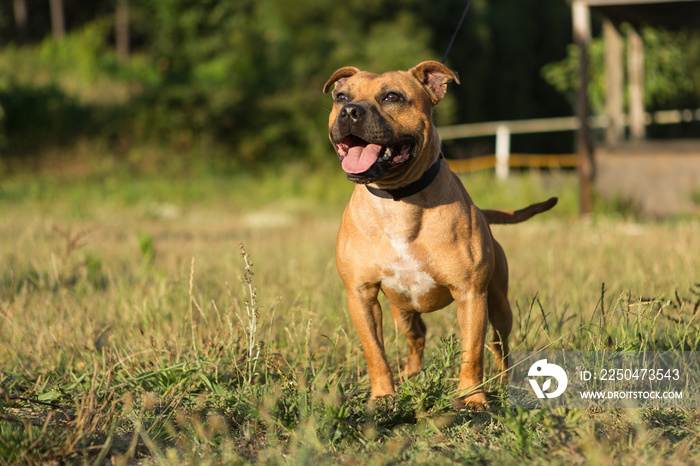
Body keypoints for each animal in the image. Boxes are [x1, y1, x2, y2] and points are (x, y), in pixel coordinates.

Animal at [322, 60, 556, 406]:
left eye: (392, 97)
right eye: (341, 96)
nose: (349, 111)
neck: (398, 200)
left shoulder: (471, 295)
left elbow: (472, 353)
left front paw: (473, 400)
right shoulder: (361, 294)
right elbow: (375, 352)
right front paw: (382, 396)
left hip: (499, 306)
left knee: (499, 346)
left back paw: (504, 384)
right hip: (401, 309)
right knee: (417, 335)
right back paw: (409, 375)